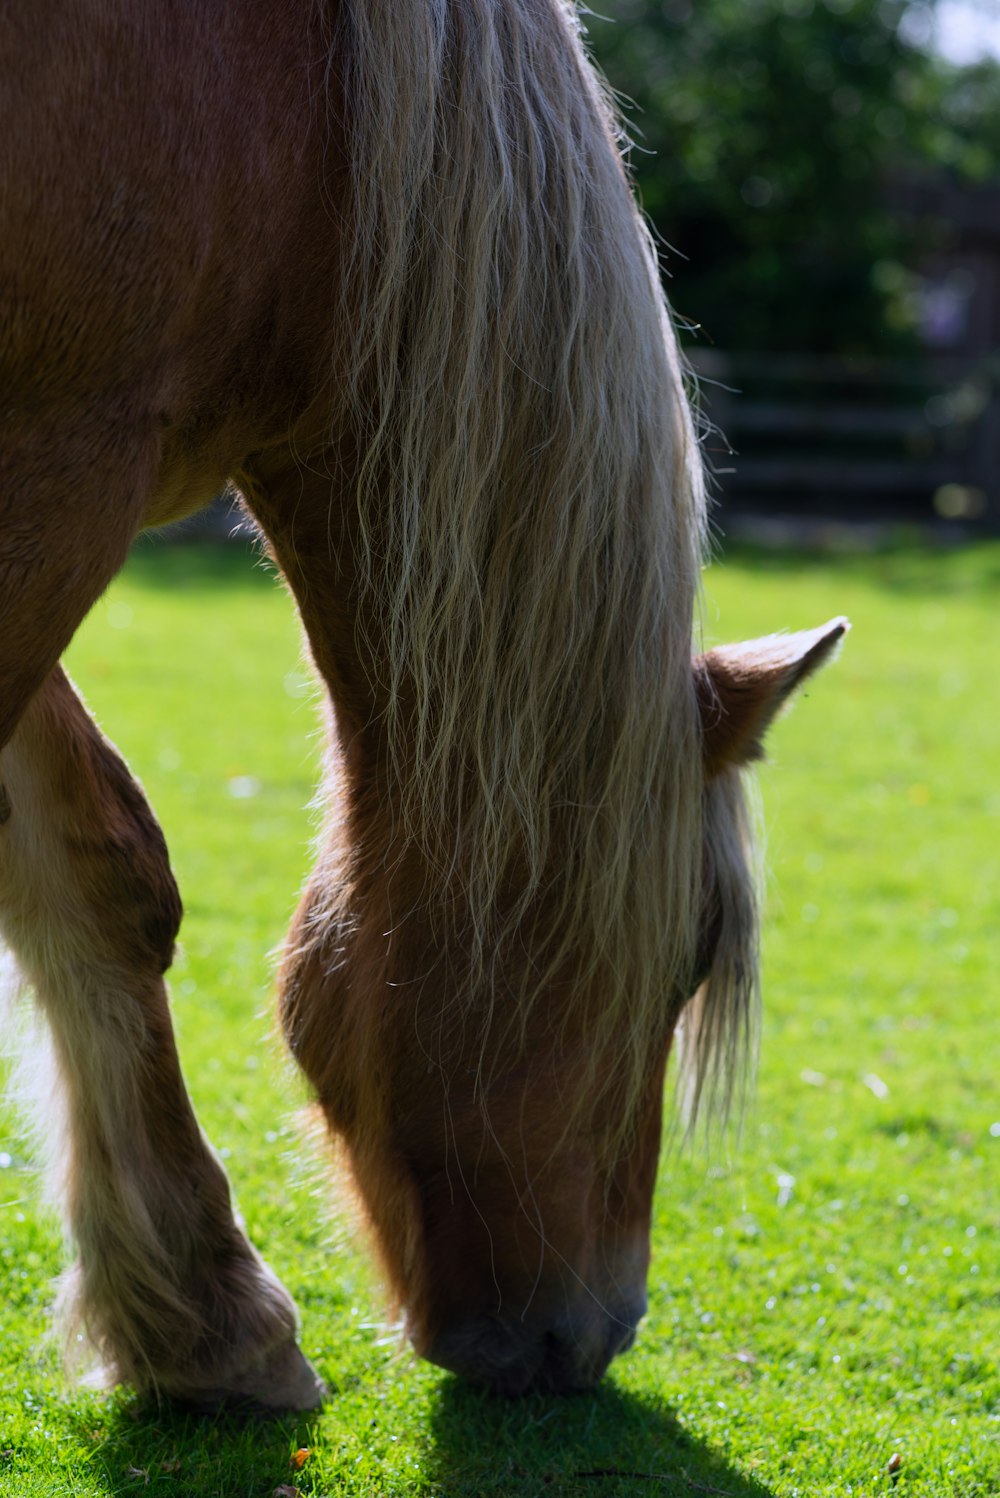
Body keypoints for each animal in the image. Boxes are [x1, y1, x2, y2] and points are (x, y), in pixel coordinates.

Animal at [0, 0, 844, 1408]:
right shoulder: (54, 473)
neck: (312, 151)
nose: (590, 1329)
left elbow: (102, 872)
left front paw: (195, 1314)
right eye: (682, 960)